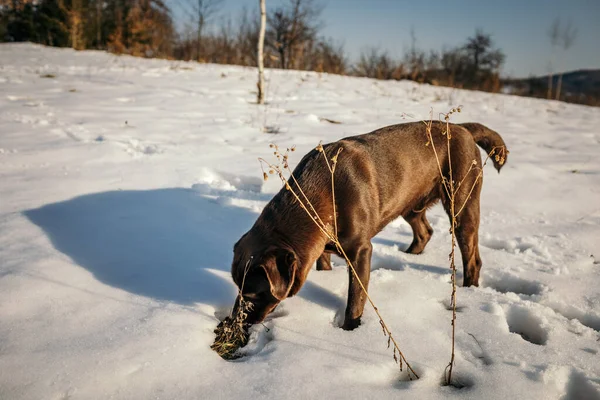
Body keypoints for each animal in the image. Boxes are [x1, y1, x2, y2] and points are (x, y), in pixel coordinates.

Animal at [230, 120, 506, 330]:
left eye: (253, 294)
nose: (233, 322)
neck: (321, 192)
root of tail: (462, 128)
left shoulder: (360, 251)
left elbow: (355, 300)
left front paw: (350, 329)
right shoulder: (319, 246)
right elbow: (323, 263)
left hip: (461, 203)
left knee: (472, 257)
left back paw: (469, 288)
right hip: (409, 202)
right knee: (424, 232)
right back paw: (410, 255)